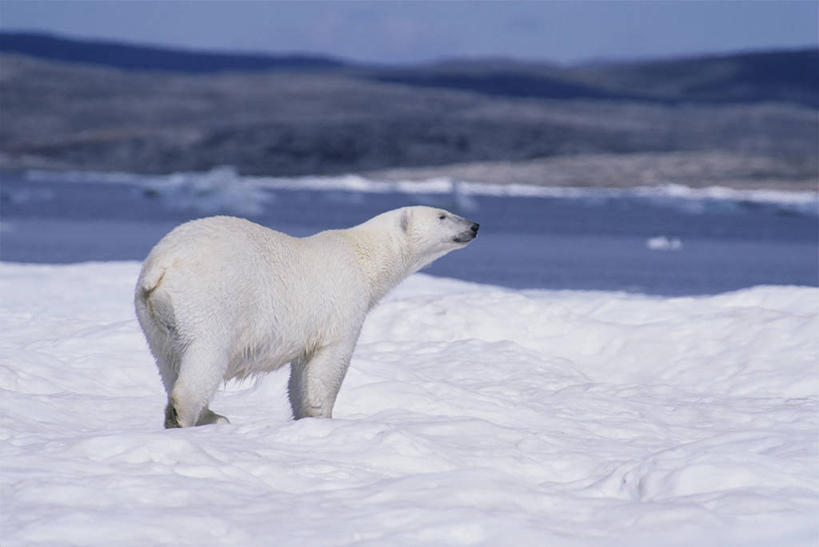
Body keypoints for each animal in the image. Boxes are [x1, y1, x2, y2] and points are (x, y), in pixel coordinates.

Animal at [135, 206, 480, 428]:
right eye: (442, 215)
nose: (474, 226)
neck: (362, 256)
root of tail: (161, 266)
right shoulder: (342, 304)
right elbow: (328, 366)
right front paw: (323, 419)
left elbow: (300, 374)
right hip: (209, 303)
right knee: (204, 358)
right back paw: (191, 416)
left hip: (155, 321)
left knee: (169, 363)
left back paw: (209, 415)